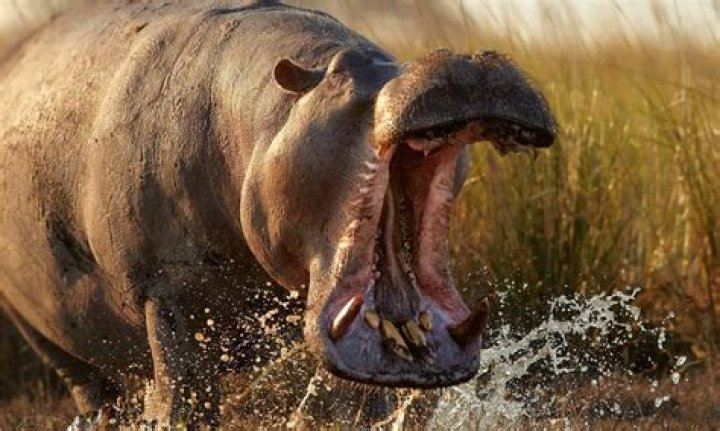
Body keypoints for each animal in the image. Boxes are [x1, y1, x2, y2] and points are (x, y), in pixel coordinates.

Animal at [0, 0, 555, 425]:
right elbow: (186, 397)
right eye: (340, 77)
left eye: (394, 58)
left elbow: (358, 404)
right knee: (95, 391)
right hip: (46, 335)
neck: (263, 115)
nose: (467, 63)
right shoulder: (164, 289)